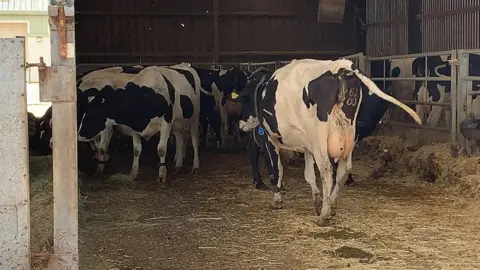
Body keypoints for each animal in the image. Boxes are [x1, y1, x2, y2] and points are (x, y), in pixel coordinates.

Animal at [229, 59, 420, 226]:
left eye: (244, 100)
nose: (242, 124)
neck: (261, 91)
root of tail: (339, 66)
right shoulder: (307, 146)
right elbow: (308, 174)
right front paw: (317, 200)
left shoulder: (270, 139)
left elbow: (276, 170)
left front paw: (277, 199)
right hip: (348, 136)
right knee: (344, 171)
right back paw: (332, 204)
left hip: (320, 140)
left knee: (327, 171)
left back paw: (324, 215)